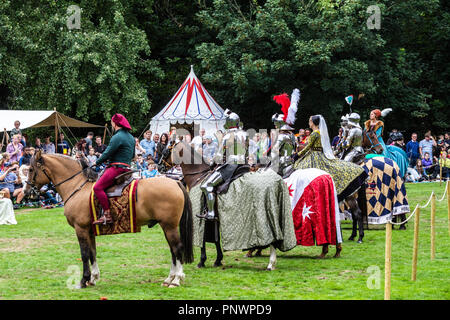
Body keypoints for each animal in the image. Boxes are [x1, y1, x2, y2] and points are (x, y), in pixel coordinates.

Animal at [24, 151, 193, 288]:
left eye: (31, 169)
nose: (27, 191)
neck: (77, 187)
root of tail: (175, 182)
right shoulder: (89, 231)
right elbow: (92, 252)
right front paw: (93, 278)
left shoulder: (81, 229)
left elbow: (84, 254)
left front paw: (83, 280)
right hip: (166, 226)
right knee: (172, 250)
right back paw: (169, 278)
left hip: (169, 226)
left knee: (177, 248)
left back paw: (176, 279)